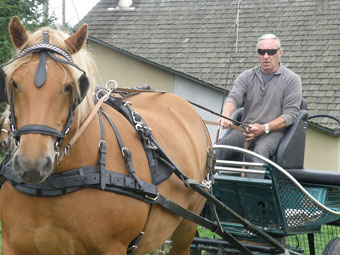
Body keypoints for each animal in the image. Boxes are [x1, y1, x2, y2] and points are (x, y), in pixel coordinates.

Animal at [0, 16, 212, 255]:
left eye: (69, 86)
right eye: (14, 83)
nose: (32, 165)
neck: (58, 182)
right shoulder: (12, 246)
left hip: (187, 226)